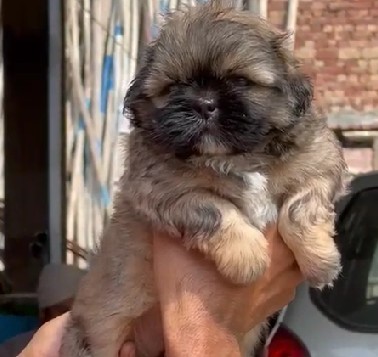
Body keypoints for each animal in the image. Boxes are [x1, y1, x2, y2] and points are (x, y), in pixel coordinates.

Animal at [60, 2, 346, 356]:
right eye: (173, 87)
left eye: (239, 81)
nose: (203, 104)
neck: (234, 157)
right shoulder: (160, 189)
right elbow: (212, 208)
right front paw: (248, 256)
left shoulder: (320, 160)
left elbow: (301, 208)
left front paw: (321, 260)